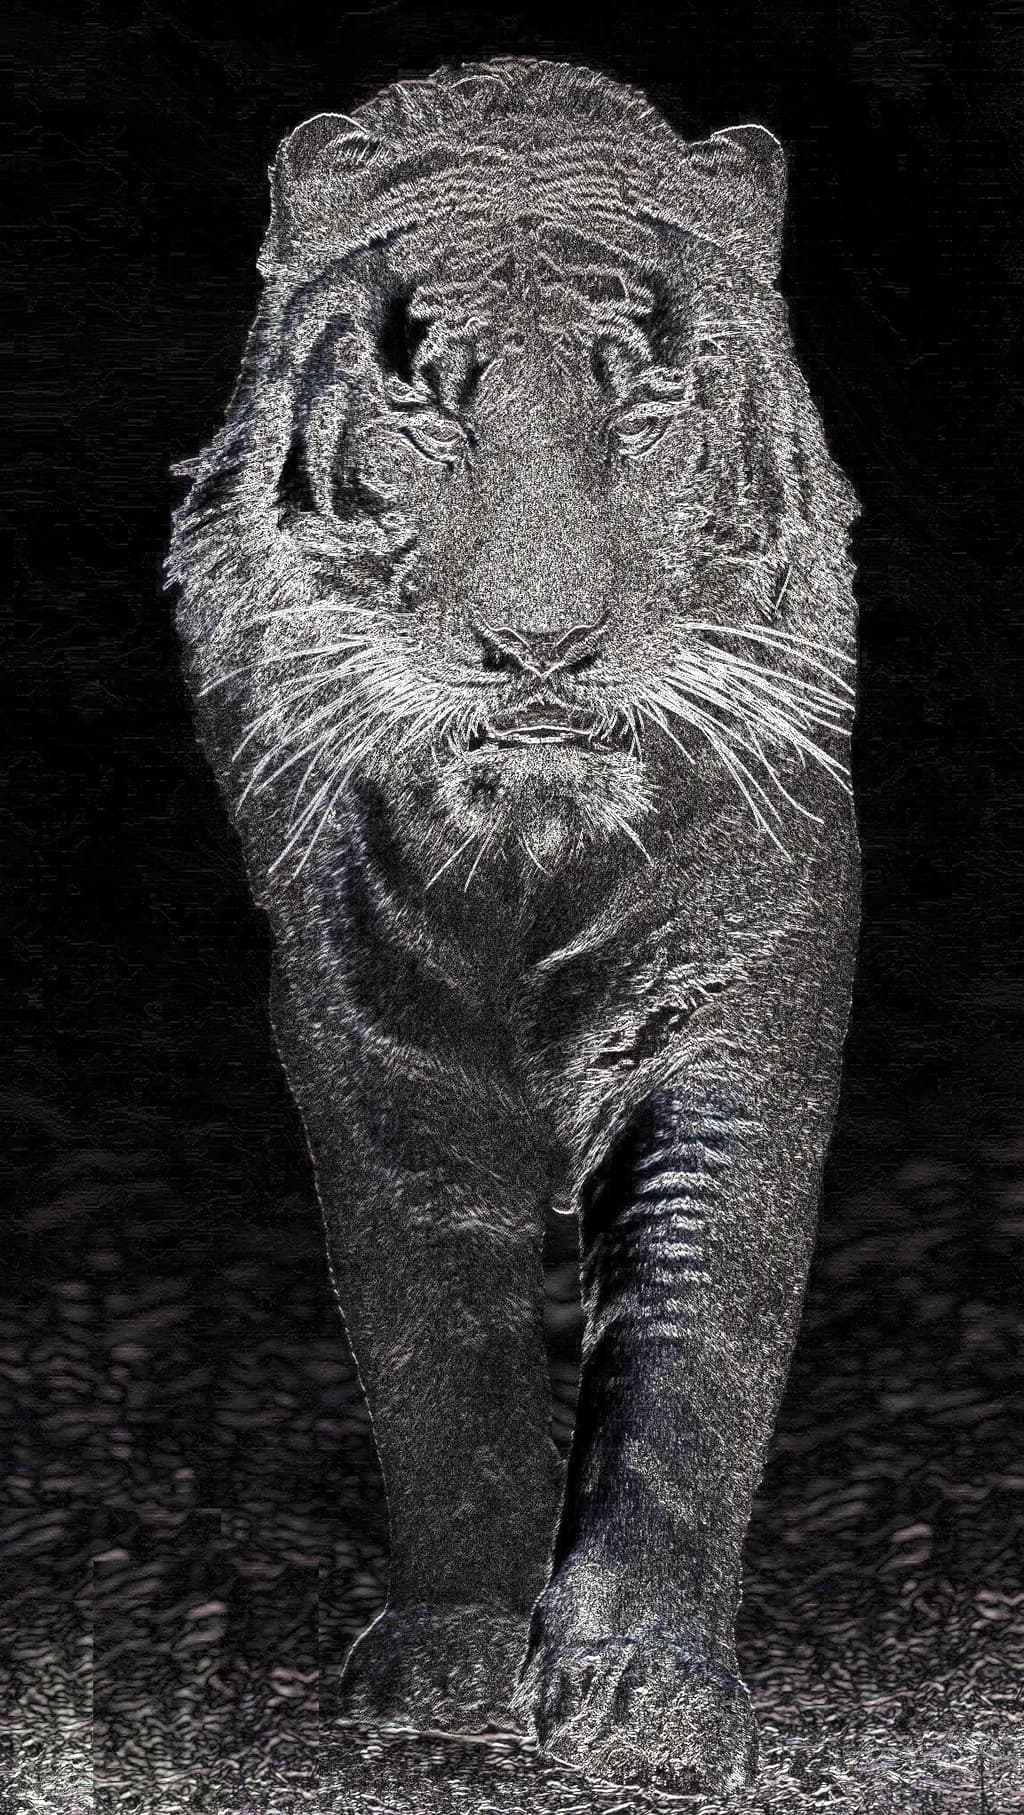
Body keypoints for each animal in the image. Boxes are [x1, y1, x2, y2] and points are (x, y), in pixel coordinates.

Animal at [166, 55, 861, 1797]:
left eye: (644, 413)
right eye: (432, 411)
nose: (540, 650)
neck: (530, 856)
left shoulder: (733, 992)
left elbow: (693, 1325)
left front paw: (644, 1685)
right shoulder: (366, 1018)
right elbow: (437, 1335)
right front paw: (460, 1653)